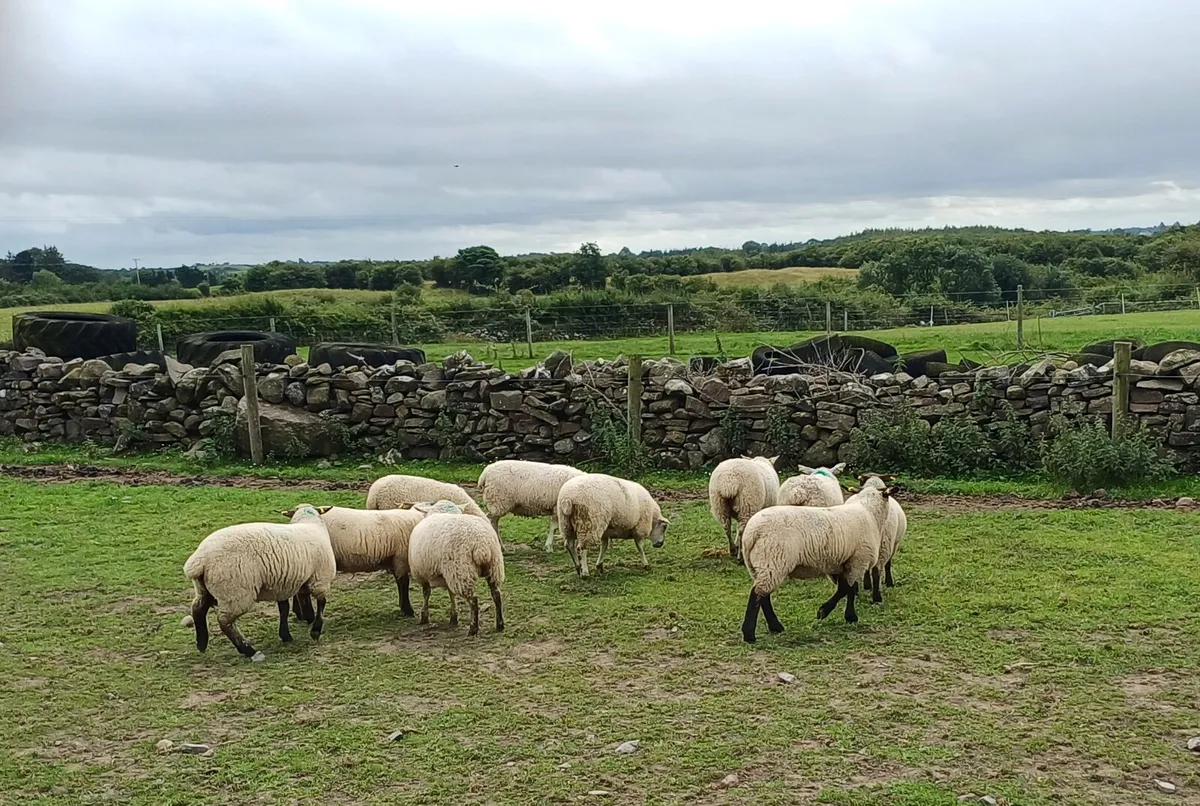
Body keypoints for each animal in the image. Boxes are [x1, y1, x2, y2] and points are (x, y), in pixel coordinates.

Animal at [183, 504, 337, 660]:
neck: (309, 523)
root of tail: (199, 560)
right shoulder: (320, 579)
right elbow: (321, 603)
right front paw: (315, 630)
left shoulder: (283, 584)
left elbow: (285, 609)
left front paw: (286, 635)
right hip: (235, 592)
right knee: (224, 621)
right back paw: (249, 650)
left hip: (203, 588)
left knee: (197, 609)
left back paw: (201, 644)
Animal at [280, 503, 426, 620]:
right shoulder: (401, 559)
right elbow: (404, 584)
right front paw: (408, 610)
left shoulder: (395, 560)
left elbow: (400, 584)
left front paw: (403, 607)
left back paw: (299, 614)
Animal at [406, 502, 505, 636]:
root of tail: (481, 545)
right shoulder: (448, 575)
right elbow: (451, 594)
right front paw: (454, 617)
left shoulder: (422, 573)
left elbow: (426, 593)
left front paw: (424, 616)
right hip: (494, 567)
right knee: (496, 595)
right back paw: (499, 625)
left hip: (461, 570)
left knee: (474, 600)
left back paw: (473, 628)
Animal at [738, 482, 893, 643]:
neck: (869, 513)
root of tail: (752, 532)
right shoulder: (858, 560)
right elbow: (849, 589)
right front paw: (846, 616)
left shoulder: (840, 564)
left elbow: (844, 588)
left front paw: (828, 612)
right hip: (774, 559)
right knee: (757, 593)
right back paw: (750, 634)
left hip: (759, 565)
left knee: (764, 595)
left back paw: (775, 627)